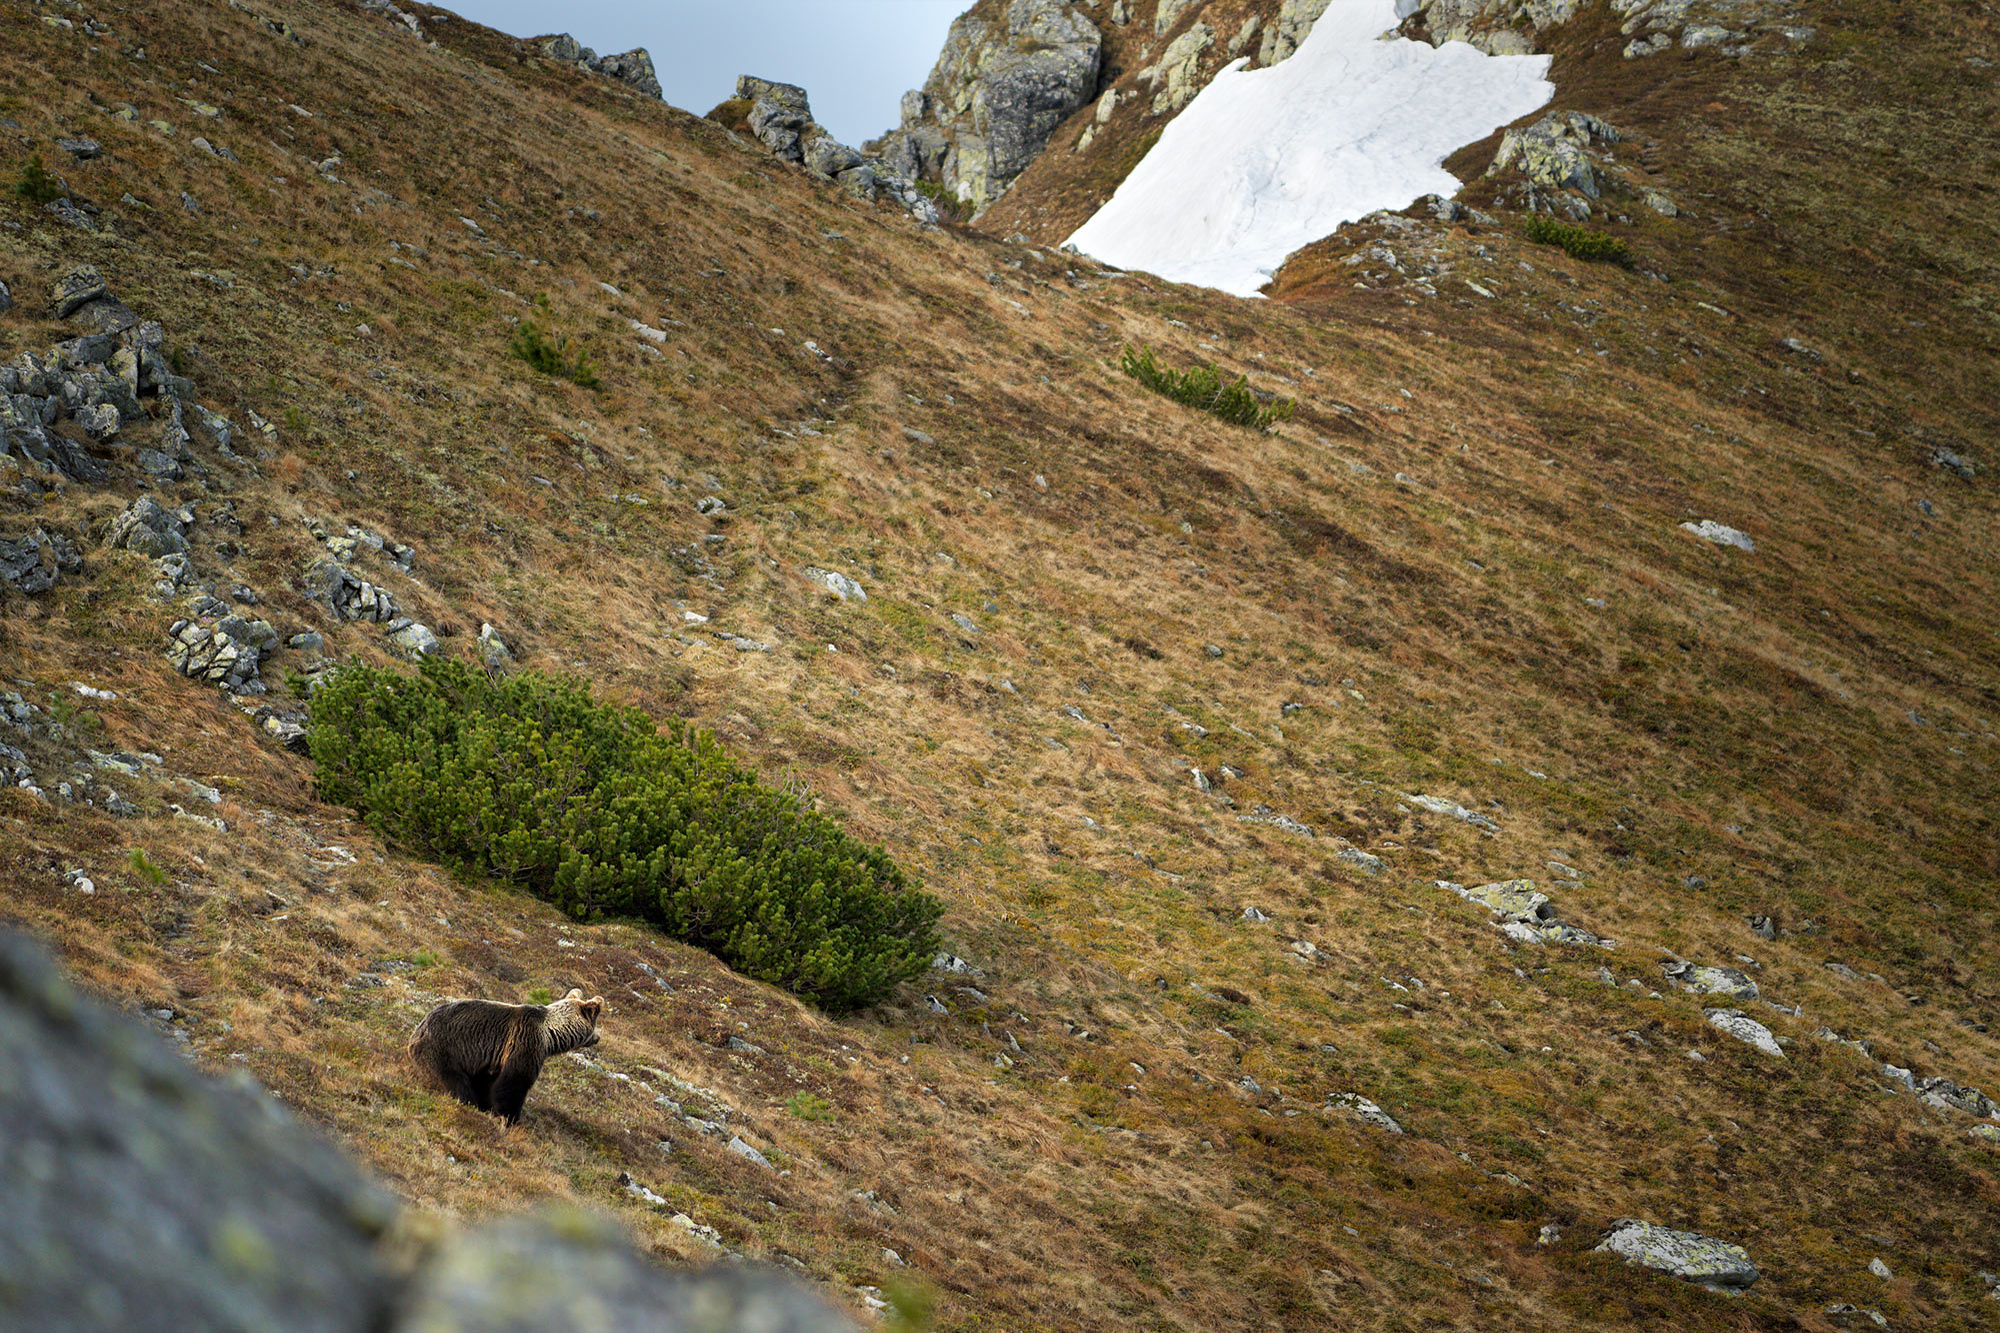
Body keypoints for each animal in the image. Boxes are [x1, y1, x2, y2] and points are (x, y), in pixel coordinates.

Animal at [402, 984, 596, 1120]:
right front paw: (509, 1117)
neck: (549, 1034)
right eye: (595, 1025)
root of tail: (417, 1031)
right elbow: (514, 1083)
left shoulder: (490, 1058)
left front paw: (488, 1106)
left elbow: (488, 1083)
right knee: (455, 1080)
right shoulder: (525, 1042)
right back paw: (467, 1101)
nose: (597, 1038)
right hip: (442, 1049)